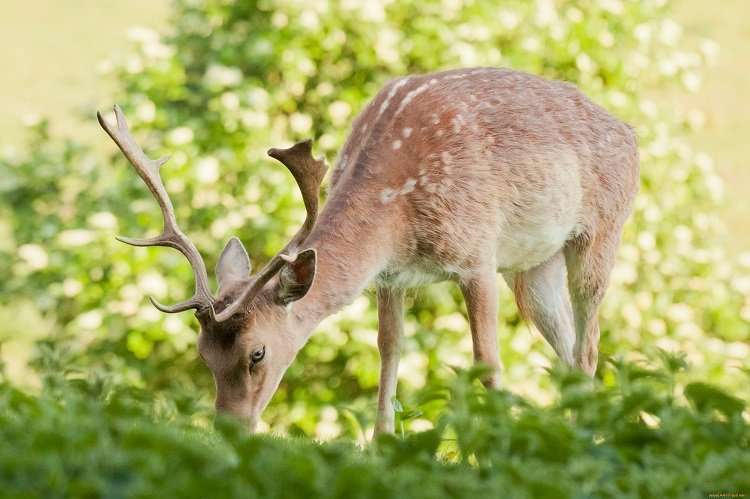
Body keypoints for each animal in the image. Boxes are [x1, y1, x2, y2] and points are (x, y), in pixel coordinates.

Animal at [98, 65, 640, 434]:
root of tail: (631, 132)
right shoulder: (391, 276)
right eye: (202, 355)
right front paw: (383, 440)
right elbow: (389, 347)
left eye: (257, 353)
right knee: (566, 346)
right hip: (534, 265)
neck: (396, 216)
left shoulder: (477, 255)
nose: (229, 429)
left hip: (601, 230)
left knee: (590, 343)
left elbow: (485, 358)